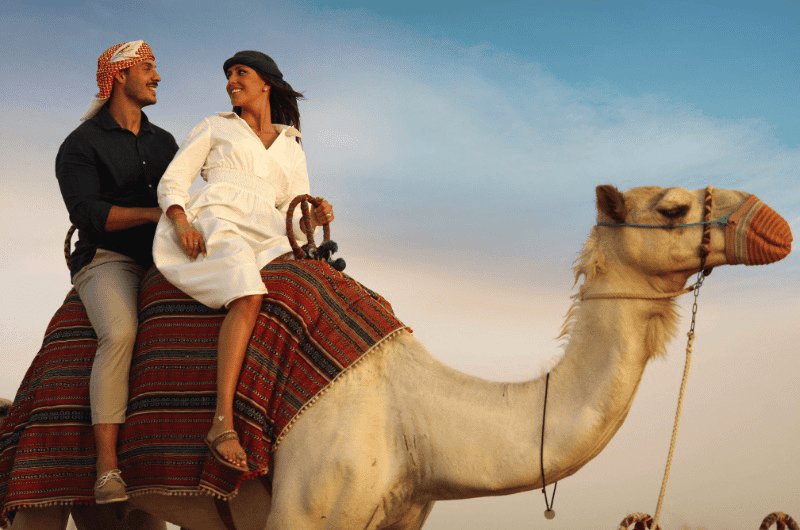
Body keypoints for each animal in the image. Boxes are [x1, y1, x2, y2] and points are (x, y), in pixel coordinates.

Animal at [3, 184, 792, 524]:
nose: (775, 225)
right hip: (36, 478)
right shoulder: (303, 513)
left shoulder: (404, 514)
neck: (416, 417)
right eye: (672, 207)